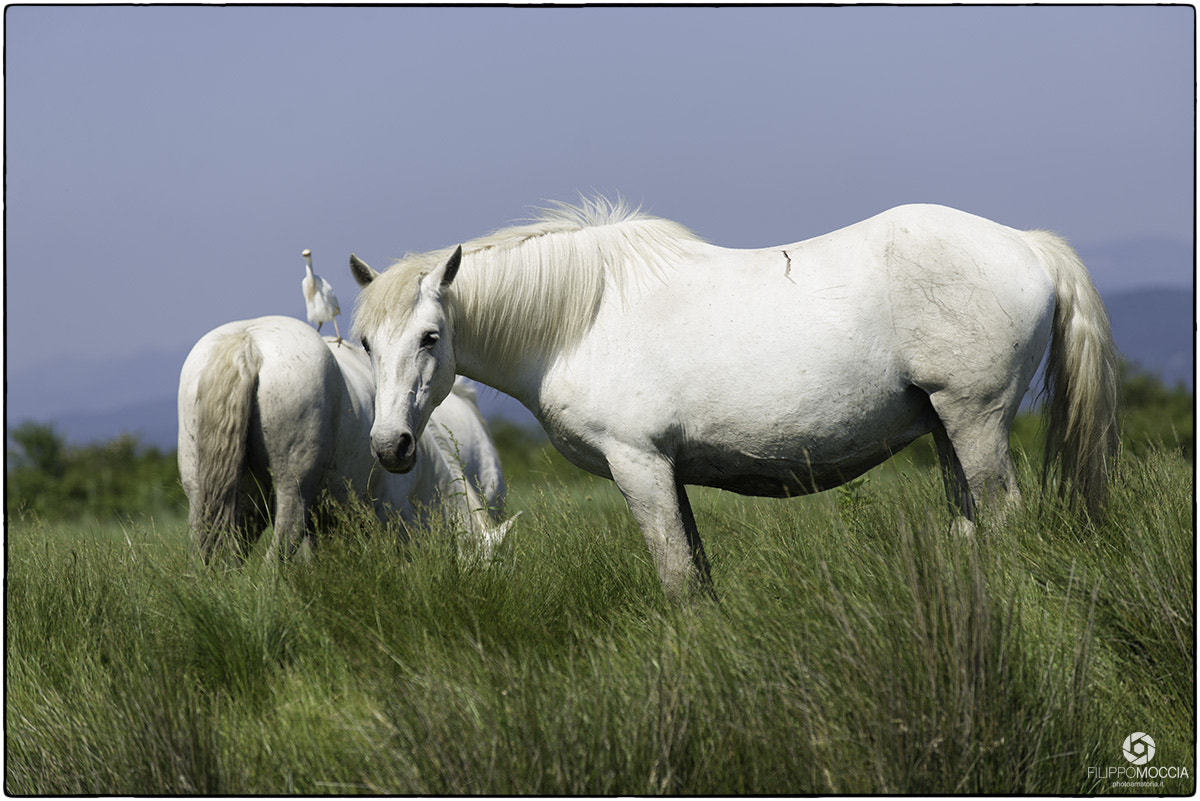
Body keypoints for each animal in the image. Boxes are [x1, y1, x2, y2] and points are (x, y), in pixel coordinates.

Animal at [348, 199, 1120, 600]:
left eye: (430, 336)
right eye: (364, 343)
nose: (390, 446)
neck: (581, 319)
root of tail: (1027, 244)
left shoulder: (639, 466)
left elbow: (677, 578)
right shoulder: (669, 473)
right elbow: (698, 571)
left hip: (975, 419)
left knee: (1004, 518)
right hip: (945, 428)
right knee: (972, 525)